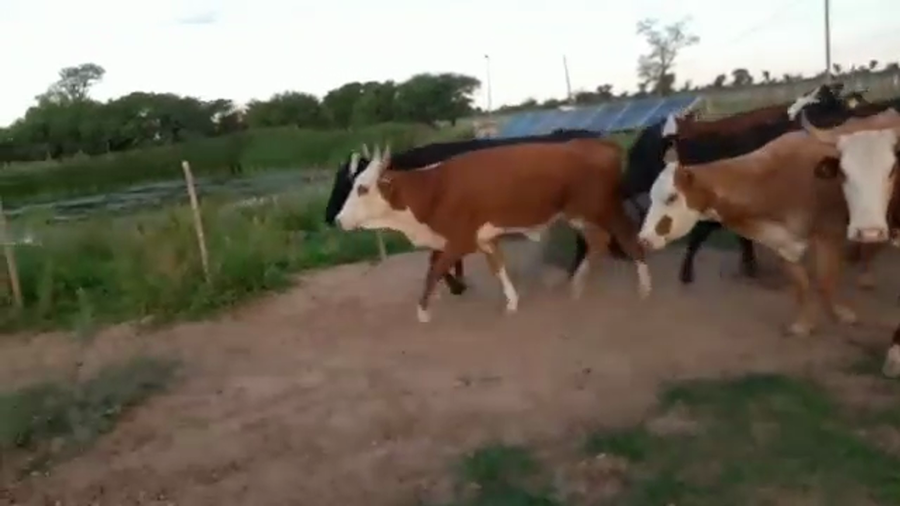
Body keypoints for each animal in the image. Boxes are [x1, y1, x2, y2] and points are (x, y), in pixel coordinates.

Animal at [334, 140, 651, 323]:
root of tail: (604, 145)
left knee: (629, 238)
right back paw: (578, 284)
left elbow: (434, 270)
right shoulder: (483, 239)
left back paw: (645, 287)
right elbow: (497, 268)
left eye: (362, 188)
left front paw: (423, 311)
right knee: (599, 241)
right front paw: (512, 301)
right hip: (578, 215)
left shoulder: (458, 241)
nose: (338, 219)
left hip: (605, 209)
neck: (434, 189)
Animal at [636, 111, 900, 337]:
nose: (643, 239)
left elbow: (826, 280)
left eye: (671, 197)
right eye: (651, 196)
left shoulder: (828, 233)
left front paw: (840, 314)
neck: (771, 181)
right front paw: (804, 323)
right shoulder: (781, 242)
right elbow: (801, 284)